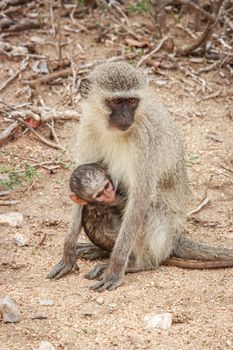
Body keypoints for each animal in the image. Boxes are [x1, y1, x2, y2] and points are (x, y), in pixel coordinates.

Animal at [46, 61, 233, 292]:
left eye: (132, 101)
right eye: (116, 101)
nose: (126, 117)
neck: (113, 131)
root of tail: (175, 238)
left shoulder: (143, 137)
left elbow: (140, 198)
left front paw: (116, 268)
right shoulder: (88, 127)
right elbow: (79, 189)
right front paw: (68, 251)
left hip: (164, 234)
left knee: (149, 208)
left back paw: (139, 263)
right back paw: (99, 250)